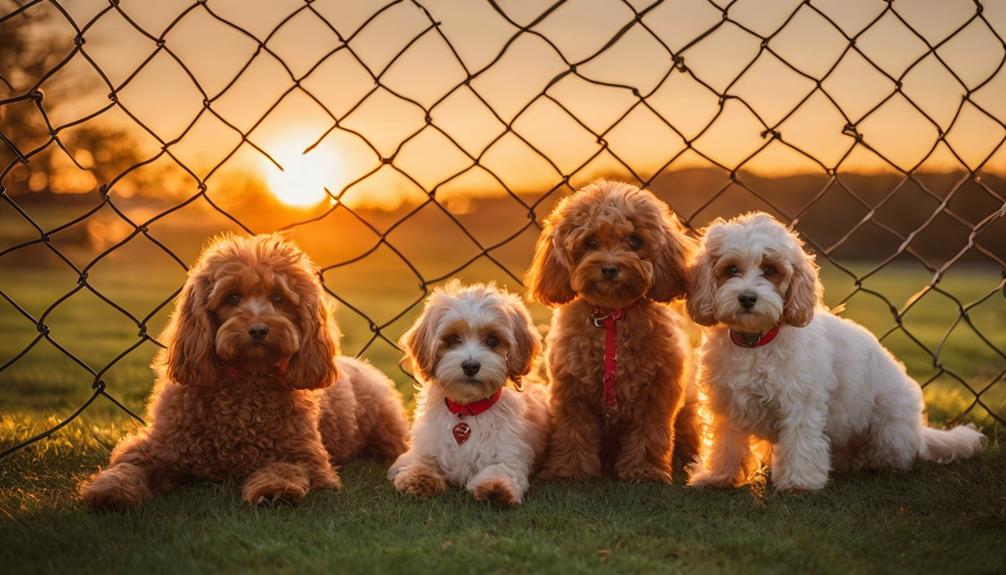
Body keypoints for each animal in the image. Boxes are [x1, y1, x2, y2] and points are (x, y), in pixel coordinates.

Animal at [79, 233, 408, 506]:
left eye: (278, 298)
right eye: (232, 297)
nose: (259, 330)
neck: (247, 378)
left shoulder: (305, 455)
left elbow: (285, 466)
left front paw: (274, 489)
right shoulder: (159, 446)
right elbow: (129, 464)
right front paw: (110, 489)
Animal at [390, 281, 551, 504]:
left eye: (492, 340)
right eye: (452, 339)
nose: (471, 366)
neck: (468, 409)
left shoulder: (510, 450)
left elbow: (503, 469)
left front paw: (496, 488)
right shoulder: (427, 443)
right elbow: (421, 459)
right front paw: (418, 477)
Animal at [684, 213, 981, 492]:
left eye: (769, 270)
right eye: (731, 269)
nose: (747, 298)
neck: (755, 342)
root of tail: (918, 431)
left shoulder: (800, 403)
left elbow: (800, 441)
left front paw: (798, 482)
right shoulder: (727, 406)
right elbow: (725, 444)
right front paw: (718, 476)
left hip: (890, 431)